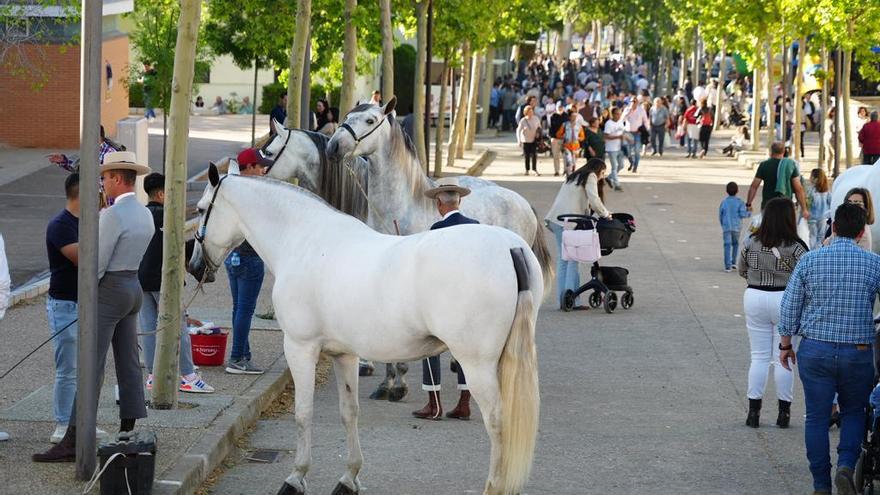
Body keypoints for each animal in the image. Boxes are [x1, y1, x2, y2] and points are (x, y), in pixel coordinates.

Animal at [189, 166, 540, 495]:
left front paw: (296, 478)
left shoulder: (300, 348)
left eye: (202, 208)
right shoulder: (344, 355)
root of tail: (511, 247)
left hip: (477, 364)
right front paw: (349, 478)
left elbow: (303, 413)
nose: (194, 267)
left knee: (497, 421)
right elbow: (349, 412)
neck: (304, 240)